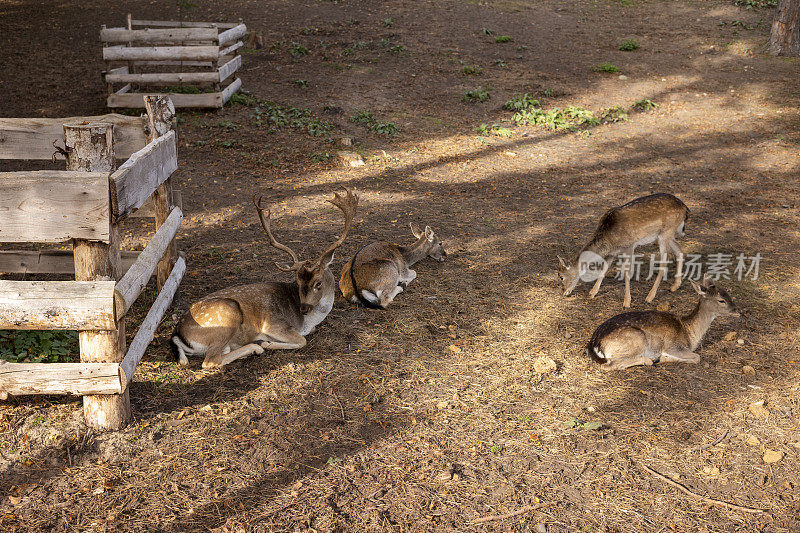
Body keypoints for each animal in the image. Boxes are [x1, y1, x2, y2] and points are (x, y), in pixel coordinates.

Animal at [173, 189, 358, 368]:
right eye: (298, 282)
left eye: (318, 283)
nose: (304, 309)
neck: (308, 322)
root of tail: (177, 334)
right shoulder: (272, 324)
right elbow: (302, 340)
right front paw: (268, 343)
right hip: (227, 314)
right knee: (210, 361)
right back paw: (256, 347)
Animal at [556, 193, 688, 306]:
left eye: (561, 276)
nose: (564, 292)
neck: (609, 239)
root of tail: (685, 208)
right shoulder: (612, 253)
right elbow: (604, 269)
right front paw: (592, 293)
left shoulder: (629, 246)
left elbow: (627, 273)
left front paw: (626, 302)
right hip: (668, 234)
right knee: (679, 250)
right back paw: (675, 286)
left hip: (665, 233)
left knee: (664, 261)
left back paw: (649, 297)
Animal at [584, 274, 740, 370]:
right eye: (721, 300)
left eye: (728, 293)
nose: (738, 311)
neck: (690, 333)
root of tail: (594, 345)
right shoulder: (674, 346)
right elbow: (697, 357)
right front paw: (662, 358)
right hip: (637, 339)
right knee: (609, 365)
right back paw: (649, 360)